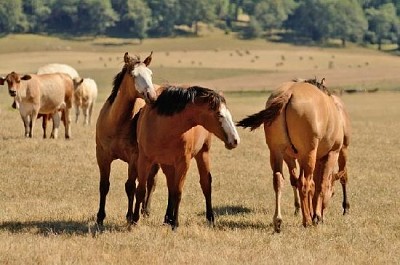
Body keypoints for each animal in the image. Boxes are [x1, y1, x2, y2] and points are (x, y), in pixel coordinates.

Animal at [96, 51, 159, 225]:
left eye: (150, 74)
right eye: (133, 75)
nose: (152, 96)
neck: (116, 122)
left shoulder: (133, 158)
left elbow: (130, 186)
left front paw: (130, 216)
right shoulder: (102, 156)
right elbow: (104, 185)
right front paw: (100, 217)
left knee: (150, 182)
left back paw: (145, 211)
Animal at [132, 85, 241, 229]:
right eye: (219, 114)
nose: (235, 140)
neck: (163, 126)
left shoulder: (183, 162)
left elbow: (178, 192)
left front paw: (175, 224)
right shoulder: (144, 160)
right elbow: (140, 190)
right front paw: (134, 220)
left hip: (203, 154)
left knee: (205, 185)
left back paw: (209, 218)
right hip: (167, 164)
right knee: (170, 187)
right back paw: (167, 219)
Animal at [238, 77, 344, 230]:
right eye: (334, 193)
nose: (322, 214)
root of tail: (288, 93)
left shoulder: (295, 157)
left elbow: (310, 184)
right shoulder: (331, 154)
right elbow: (320, 185)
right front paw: (316, 216)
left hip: (277, 152)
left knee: (278, 180)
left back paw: (278, 220)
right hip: (309, 154)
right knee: (304, 183)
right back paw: (307, 221)